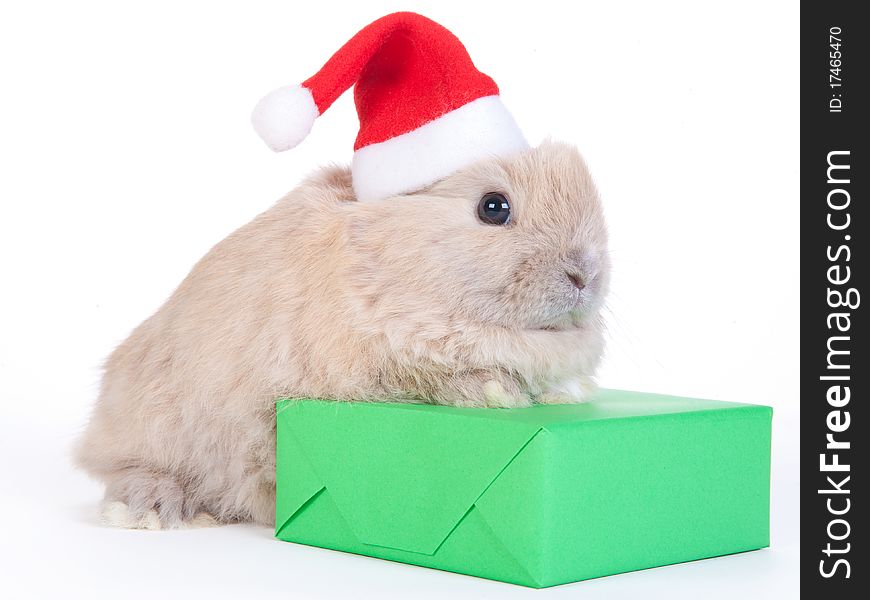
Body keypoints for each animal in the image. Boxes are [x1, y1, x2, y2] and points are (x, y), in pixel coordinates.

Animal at [78, 138, 612, 528]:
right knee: (127, 467)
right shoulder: (370, 369)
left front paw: (567, 393)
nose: (584, 274)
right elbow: (441, 379)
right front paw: (497, 394)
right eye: (493, 207)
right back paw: (146, 509)